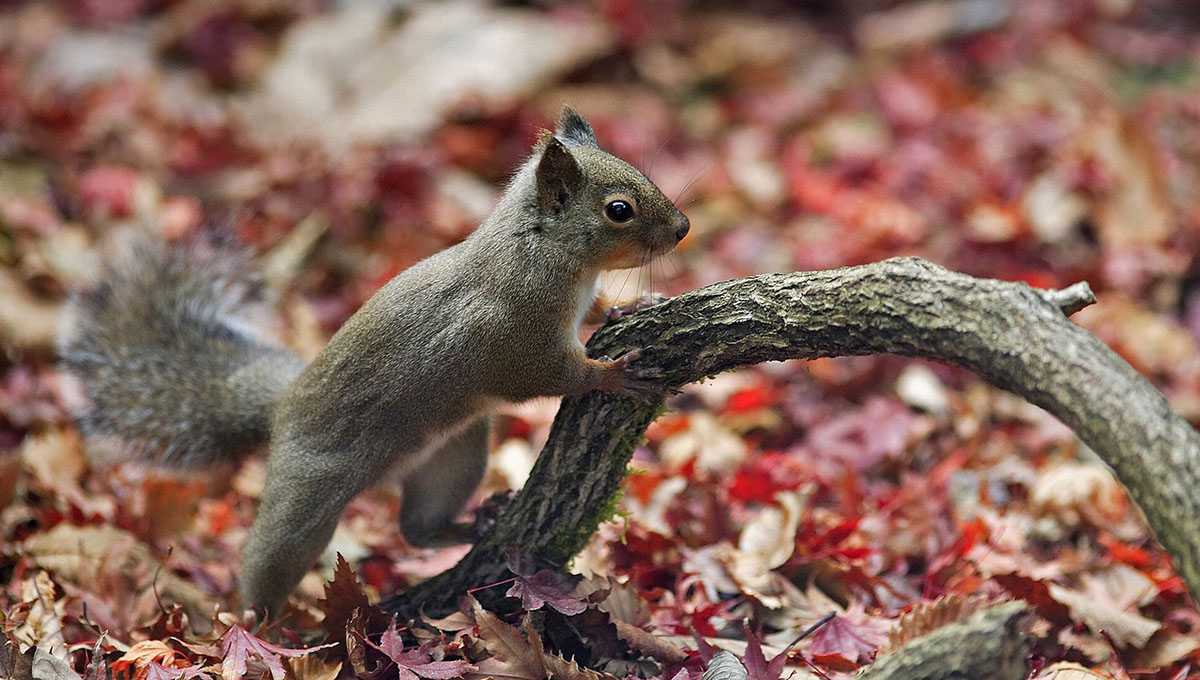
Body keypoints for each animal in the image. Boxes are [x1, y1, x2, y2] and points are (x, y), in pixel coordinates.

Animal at [56, 107, 691, 618]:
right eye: (618, 210)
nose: (684, 228)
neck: (542, 250)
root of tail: (281, 410)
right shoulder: (512, 337)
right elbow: (544, 376)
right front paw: (612, 374)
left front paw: (634, 304)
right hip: (307, 496)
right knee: (270, 555)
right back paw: (259, 628)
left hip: (453, 456)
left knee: (417, 528)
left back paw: (475, 522)